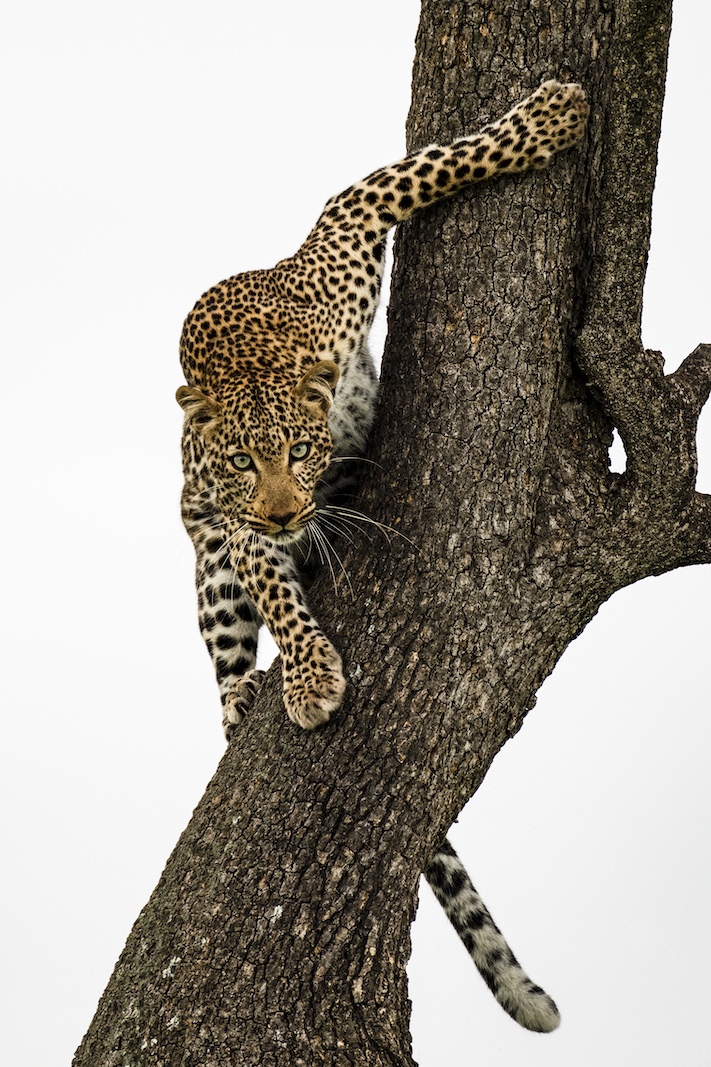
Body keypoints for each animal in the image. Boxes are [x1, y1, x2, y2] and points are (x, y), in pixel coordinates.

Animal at [177, 83, 585, 1032]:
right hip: (202, 559)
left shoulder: (348, 221)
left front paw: (547, 119)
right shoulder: (236, 522)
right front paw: (310, 675)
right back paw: (243, 692)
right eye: (243, 461)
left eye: (299, 451)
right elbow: (275, 591)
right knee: (220, 655)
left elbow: (433, 165)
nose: (289, 509)